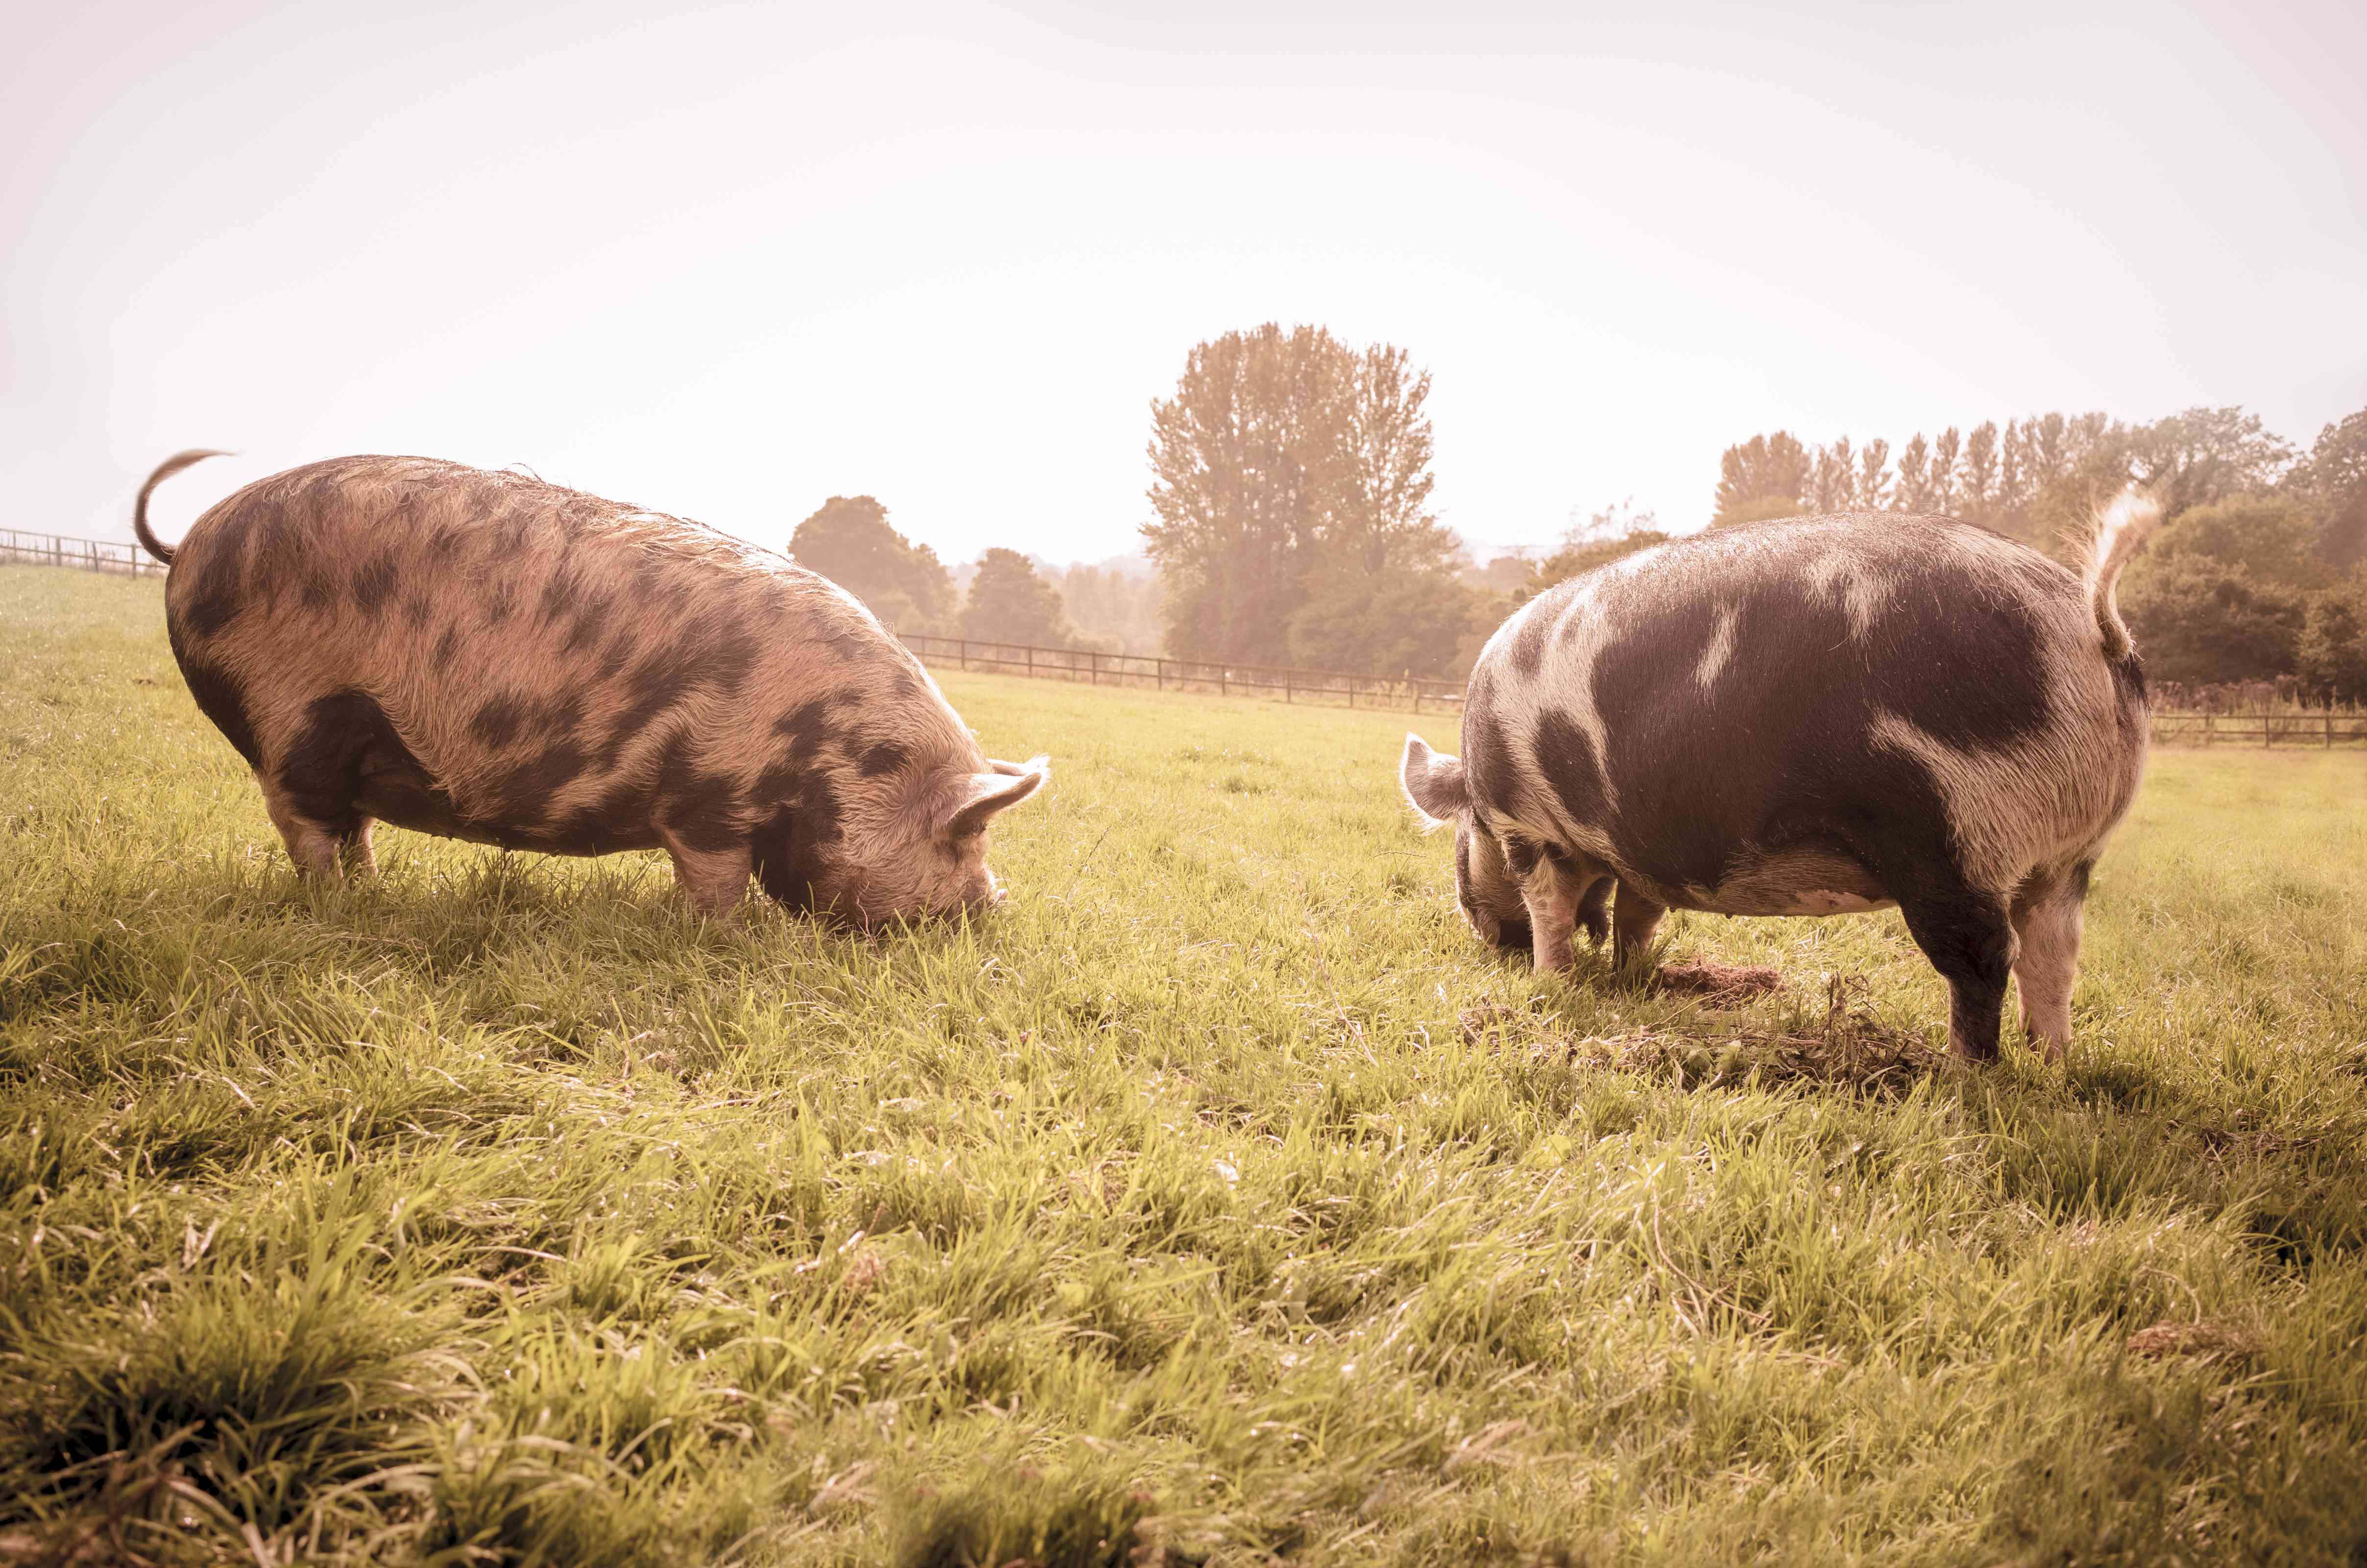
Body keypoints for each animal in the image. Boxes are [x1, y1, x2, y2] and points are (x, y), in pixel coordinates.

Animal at [134, 452, 1051, 923]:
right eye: (968, 833)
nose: (995, 906)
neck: (833, 749)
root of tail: (189, 544)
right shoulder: (708, 794)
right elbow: (713, 878)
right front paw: (726, 936)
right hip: (290, 710)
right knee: (305, 824)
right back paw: (344, 905)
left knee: (346, 825)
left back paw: (372, 893)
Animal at [1401, 492, 2168, 1061]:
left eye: (1462, 839)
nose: (1487, 939)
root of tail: (2091, 625)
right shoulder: (1643, 849)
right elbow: (1637, 913)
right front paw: (1631, 977)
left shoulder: (1527, 825)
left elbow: (1551, 909)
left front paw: (1551, 983)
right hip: (2070, 855)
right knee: (2054, 952)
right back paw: (2052, 1063)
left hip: (1951, 830)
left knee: (1982, 955)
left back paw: (1960, 1074)